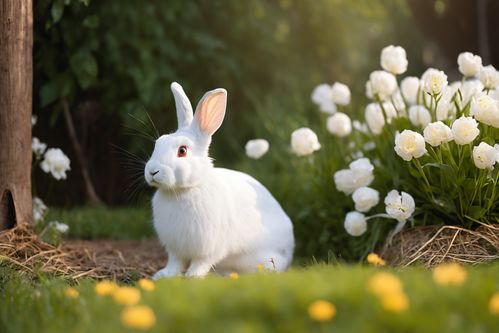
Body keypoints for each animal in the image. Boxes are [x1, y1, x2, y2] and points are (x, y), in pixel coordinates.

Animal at [145, 82, 294, 278]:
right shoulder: (175, 249)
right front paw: (163, 276)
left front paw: (192, 277)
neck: (184, 190)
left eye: (182, 151)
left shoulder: (209, 247)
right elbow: (175, 263)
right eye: (158, 143)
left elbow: (200, 262)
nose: (152, 171)